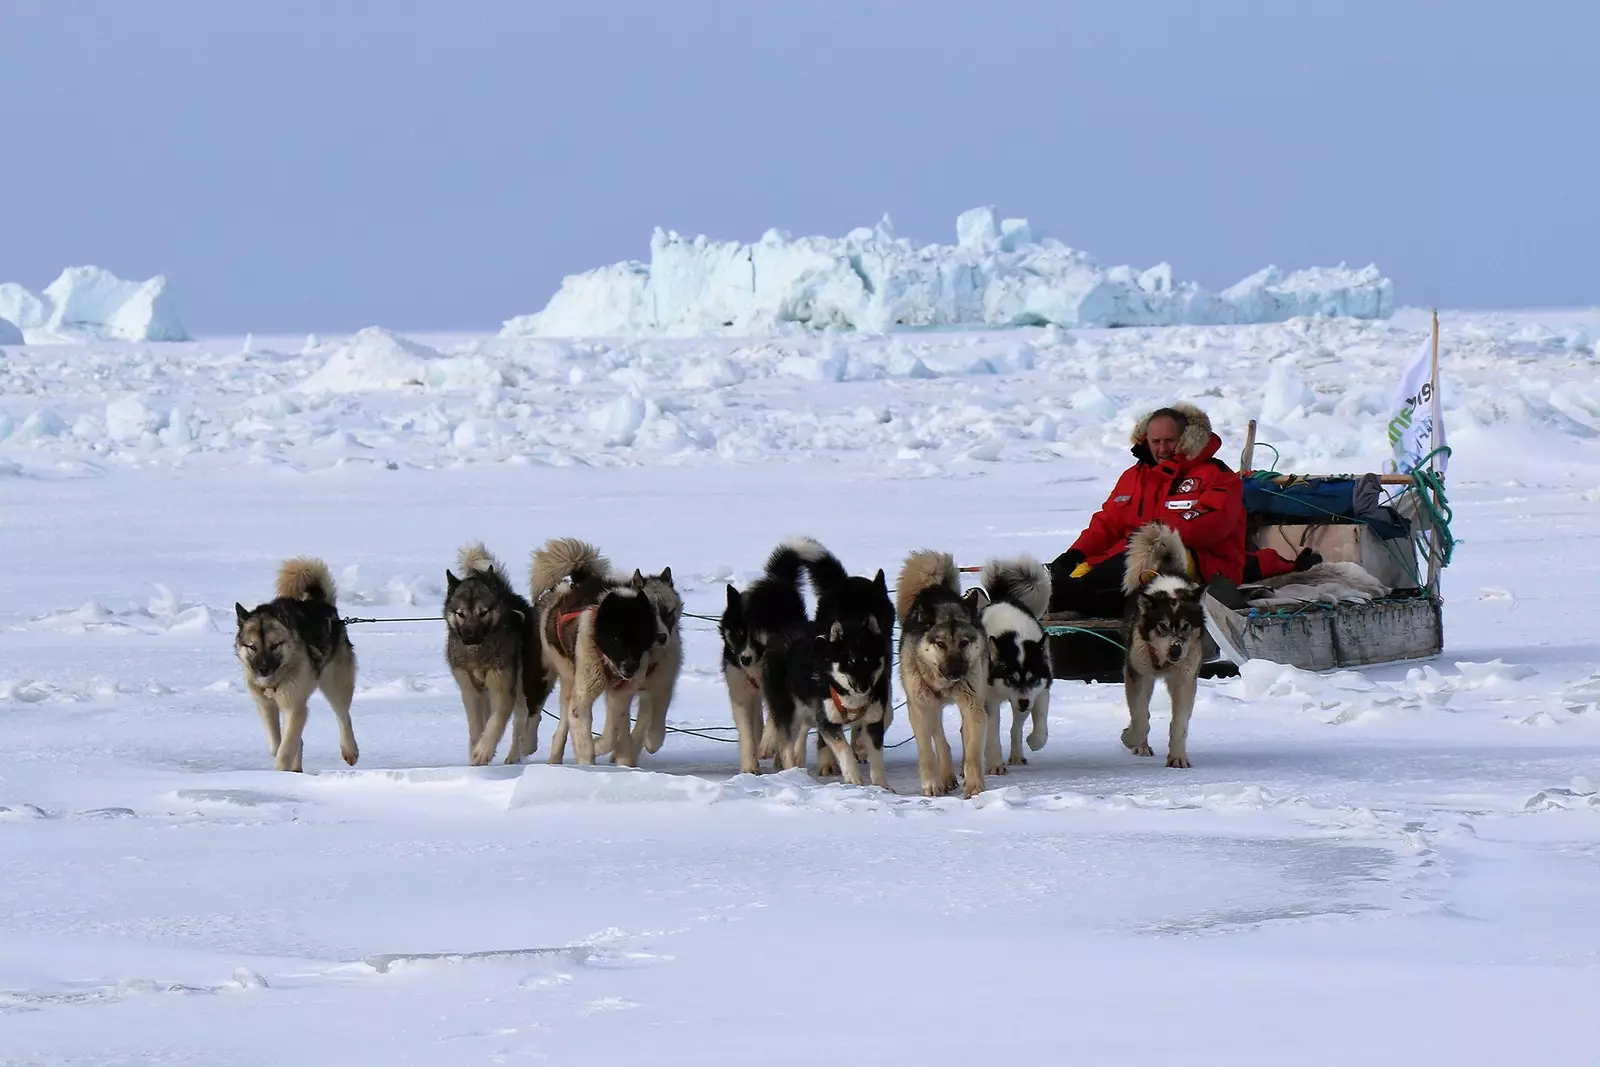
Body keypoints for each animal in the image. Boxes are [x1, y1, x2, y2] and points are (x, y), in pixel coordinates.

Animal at [233, 559, 358, 777]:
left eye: (275, 645)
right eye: (252, 647)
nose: (263, 669)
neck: (274, 681)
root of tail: (322, 605)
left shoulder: (294, 706)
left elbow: (284, 749)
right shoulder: (266, 706)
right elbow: (277, 745)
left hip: (334, 683)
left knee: (343, 716)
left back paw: (350, 750)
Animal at [448, 543, 547, 767]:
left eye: (483, 612)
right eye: (460, 613)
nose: (469, 636)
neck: (479, 654)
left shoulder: (502, 687)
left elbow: (495, 723)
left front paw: (483, 751)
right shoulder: (470, 690)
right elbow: (477, 727)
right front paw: (476, 756)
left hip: (524, 681)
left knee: (525, 718)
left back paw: (519, 751)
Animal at [534, 543, 659, 767]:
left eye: (640, 636)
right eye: (616, 637)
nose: (630, 667)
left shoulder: (620, 694)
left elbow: (611, 733)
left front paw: (600, 745)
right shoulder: (583, 696)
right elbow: (583, 733)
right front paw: (587, 765)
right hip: (568, 679)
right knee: (563, 724)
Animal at [720, 543, 819, 777]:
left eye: (757, 635)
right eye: (738, 634)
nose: (745, 659)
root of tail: (778, 581)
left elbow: (775, 721)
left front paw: (768, 744)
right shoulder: (740, 691)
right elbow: (747, 732)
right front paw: (749, 765)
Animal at [1120, 524, 1203, 767]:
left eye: (1186, 626)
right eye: (1162, 626)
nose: (1175, 650)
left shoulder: (1185, 680)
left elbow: (1179, 724)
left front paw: (1177, 757)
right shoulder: (1137, 673)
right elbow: (1140, 718)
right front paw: (1130, 738)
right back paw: (1140, 744)